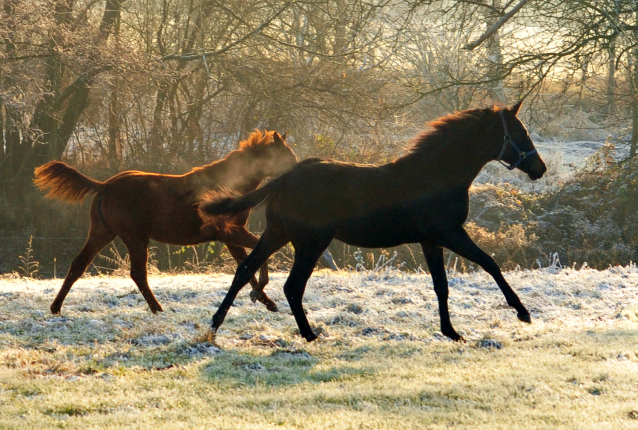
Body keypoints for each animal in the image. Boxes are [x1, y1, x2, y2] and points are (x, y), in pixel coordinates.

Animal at [33, 129, 298, 314]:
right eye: (285, 156)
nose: (297, 175)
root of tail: (105, 186)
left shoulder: (230, 237)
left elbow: (246, 265)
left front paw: (265, 300)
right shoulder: (230, 233)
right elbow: (259, 256)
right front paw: (262, 296)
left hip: (102, 233)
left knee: (78, 265)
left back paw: (56, 308)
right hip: (135, 238)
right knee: (138, 273)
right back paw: (157, 308)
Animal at [202, 103, 548, 342]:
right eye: (521, 133)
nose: (540, 168)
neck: (436, 174)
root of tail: (285, 178)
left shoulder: (431, 240)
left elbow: (442, 285)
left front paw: (450, 331)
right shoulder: (450, 234)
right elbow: (490, 263)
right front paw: (522, 312)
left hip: (277, 234)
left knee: (244, 270)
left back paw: (214, 326)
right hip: (310, 243)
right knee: (292, 286)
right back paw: (310, 335)